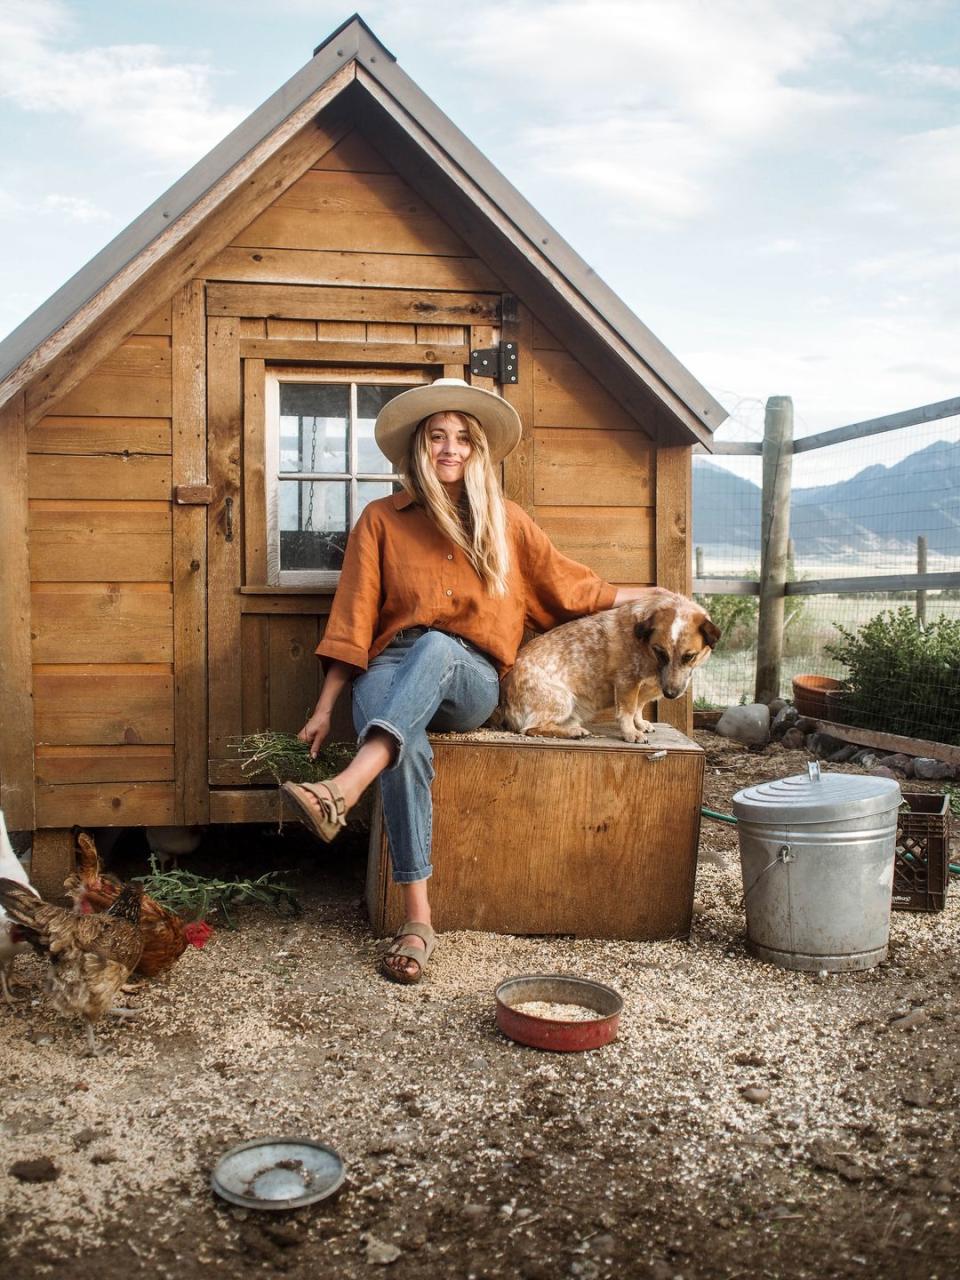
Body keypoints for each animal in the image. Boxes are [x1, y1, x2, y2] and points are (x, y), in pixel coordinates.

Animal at [504, 586, 721, 742]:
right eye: (660, 652)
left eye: (689, 656)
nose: (670, 694)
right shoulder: (627, 682)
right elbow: (627, 712)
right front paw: (631, 733)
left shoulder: (646, 687)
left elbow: (638, 708)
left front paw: (640, 724)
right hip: (562, 699)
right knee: (530, 728)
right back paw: (573, 732)